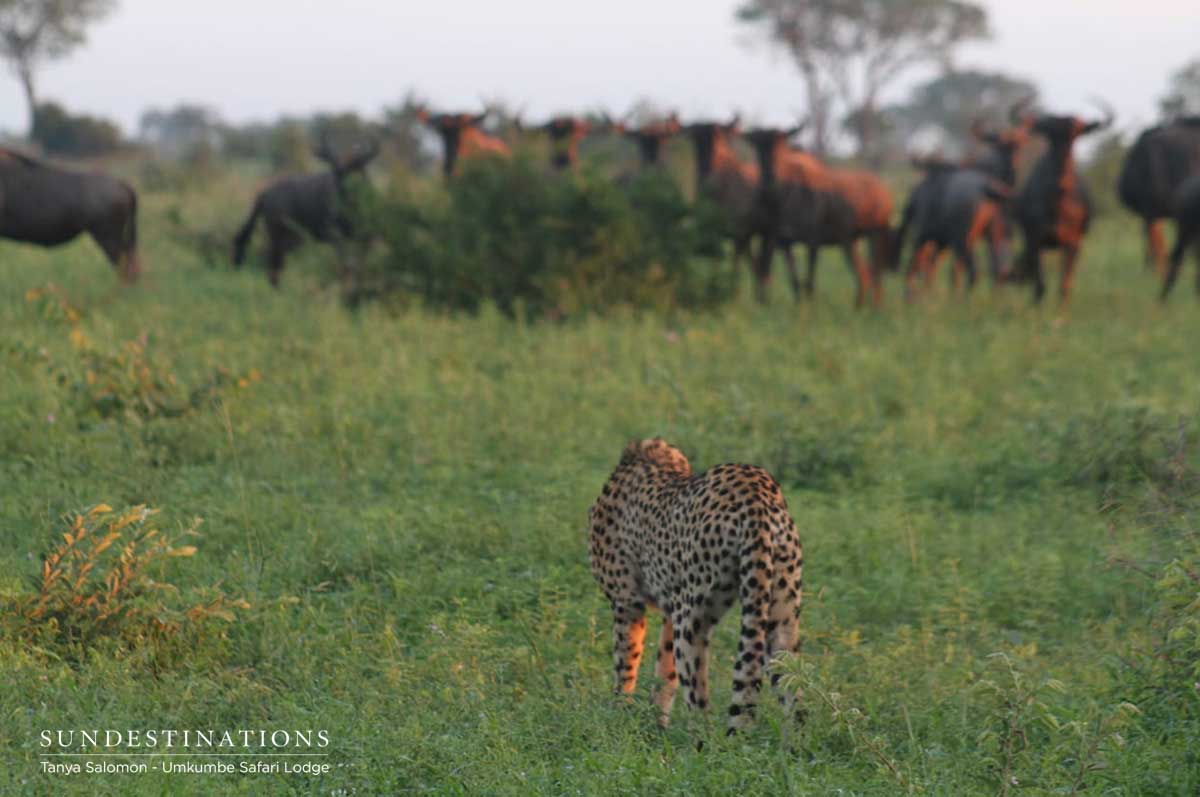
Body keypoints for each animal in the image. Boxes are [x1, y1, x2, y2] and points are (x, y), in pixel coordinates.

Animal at [587, 437, 804, 733]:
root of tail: (757, 490)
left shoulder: (627, 602)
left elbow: (626, 665)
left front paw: (620, 716)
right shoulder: (669, 609)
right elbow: (664, 672)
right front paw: (656, 725)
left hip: (693, 621)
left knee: (699, 704)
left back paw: (703, 742)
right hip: (782, 614)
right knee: (795, 695)